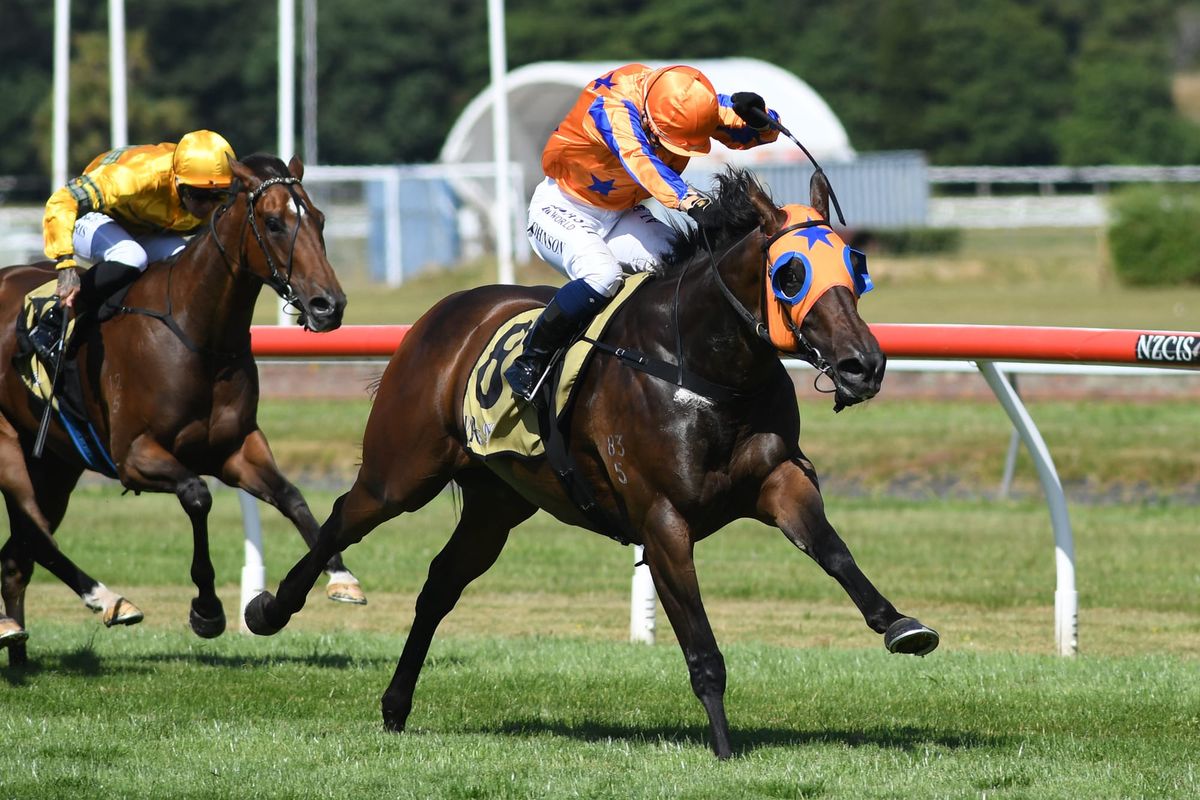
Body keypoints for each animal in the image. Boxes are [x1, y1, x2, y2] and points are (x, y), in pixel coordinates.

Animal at [0, 154, 366, 667]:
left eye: (319, 219)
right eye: (273, 222)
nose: (328, 305)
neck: (197, 332)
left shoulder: (236, 447)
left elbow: (291, 496)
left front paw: (341, 576)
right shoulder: (134, 454)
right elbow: (198, 495)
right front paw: (207, 610)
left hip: (54, 464)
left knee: (19, 554)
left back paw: (17, 641)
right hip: (10, 448)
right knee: (35, 537)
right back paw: (106, 599)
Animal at [245, 167, 939, 758]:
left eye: (856, 265)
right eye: (791, 273)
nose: (863, 365)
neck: (702, 365)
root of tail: (438, 315)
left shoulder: (778, 482)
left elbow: (834, 552)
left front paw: (900, 624)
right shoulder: (662, 520)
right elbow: (702, 647)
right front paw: (723, 748)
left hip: (498, 504)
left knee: (439, 584)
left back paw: (395, 705)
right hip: (402, 472)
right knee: (343, 515)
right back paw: (270, 609)